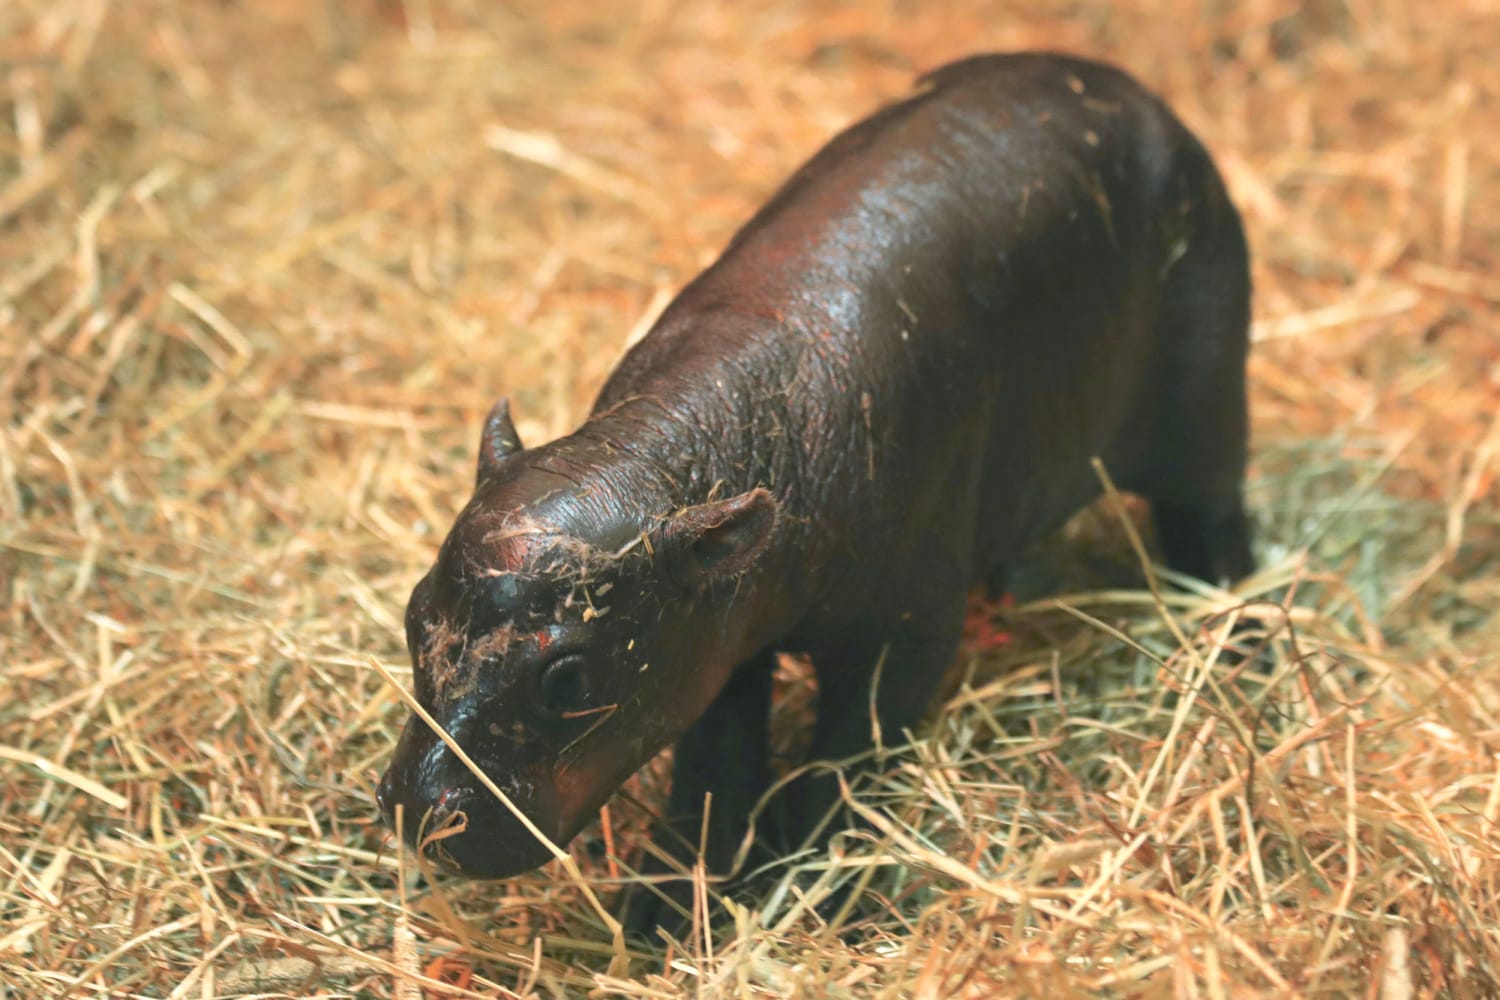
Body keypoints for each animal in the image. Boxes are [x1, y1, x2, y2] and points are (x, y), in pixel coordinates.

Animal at [376, 51, 1254, 930]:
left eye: (569, 679)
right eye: (414, 614)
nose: (420, 812)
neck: (663, 456)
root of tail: (1140, 94)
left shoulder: (904, 635)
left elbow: (844, 761)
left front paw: (803, 891)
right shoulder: (718, 640)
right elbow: (714, 770)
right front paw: (664, 913)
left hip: (1206, 411)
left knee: (1215, 522)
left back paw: (1240, 645)